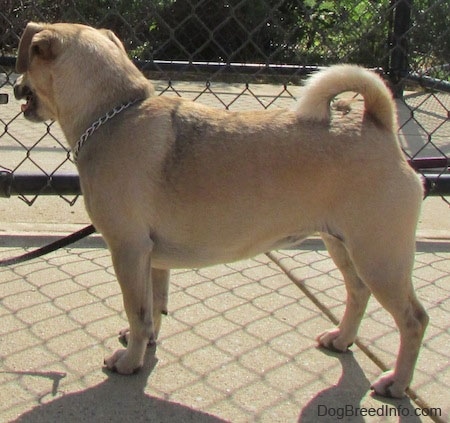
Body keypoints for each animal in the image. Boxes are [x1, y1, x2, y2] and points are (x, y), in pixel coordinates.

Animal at [14, 22, 428, 400]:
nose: (15, 87)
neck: (114, 112)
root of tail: (377, 123)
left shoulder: (128, 251)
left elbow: (138, 310)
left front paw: (130, 361)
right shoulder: (151, 259)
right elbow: (154, 306)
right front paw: (146, 343)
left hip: (379, 258)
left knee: (413, 320)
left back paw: (397, 382)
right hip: (343, 246)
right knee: (358, 292)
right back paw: (342, 338)